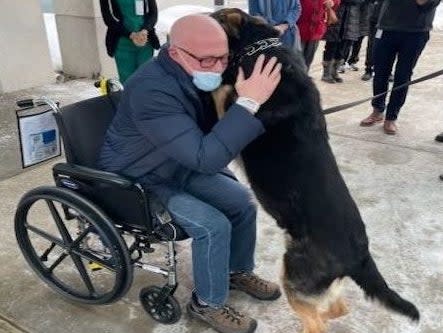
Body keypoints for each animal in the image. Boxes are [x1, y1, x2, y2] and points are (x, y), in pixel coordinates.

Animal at [212, 7, 420, 332]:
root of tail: (360, 256)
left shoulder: (232, 110)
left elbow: (223, 91)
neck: (261, 47)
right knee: (337, 309)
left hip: (293, 275)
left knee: (318, 320)